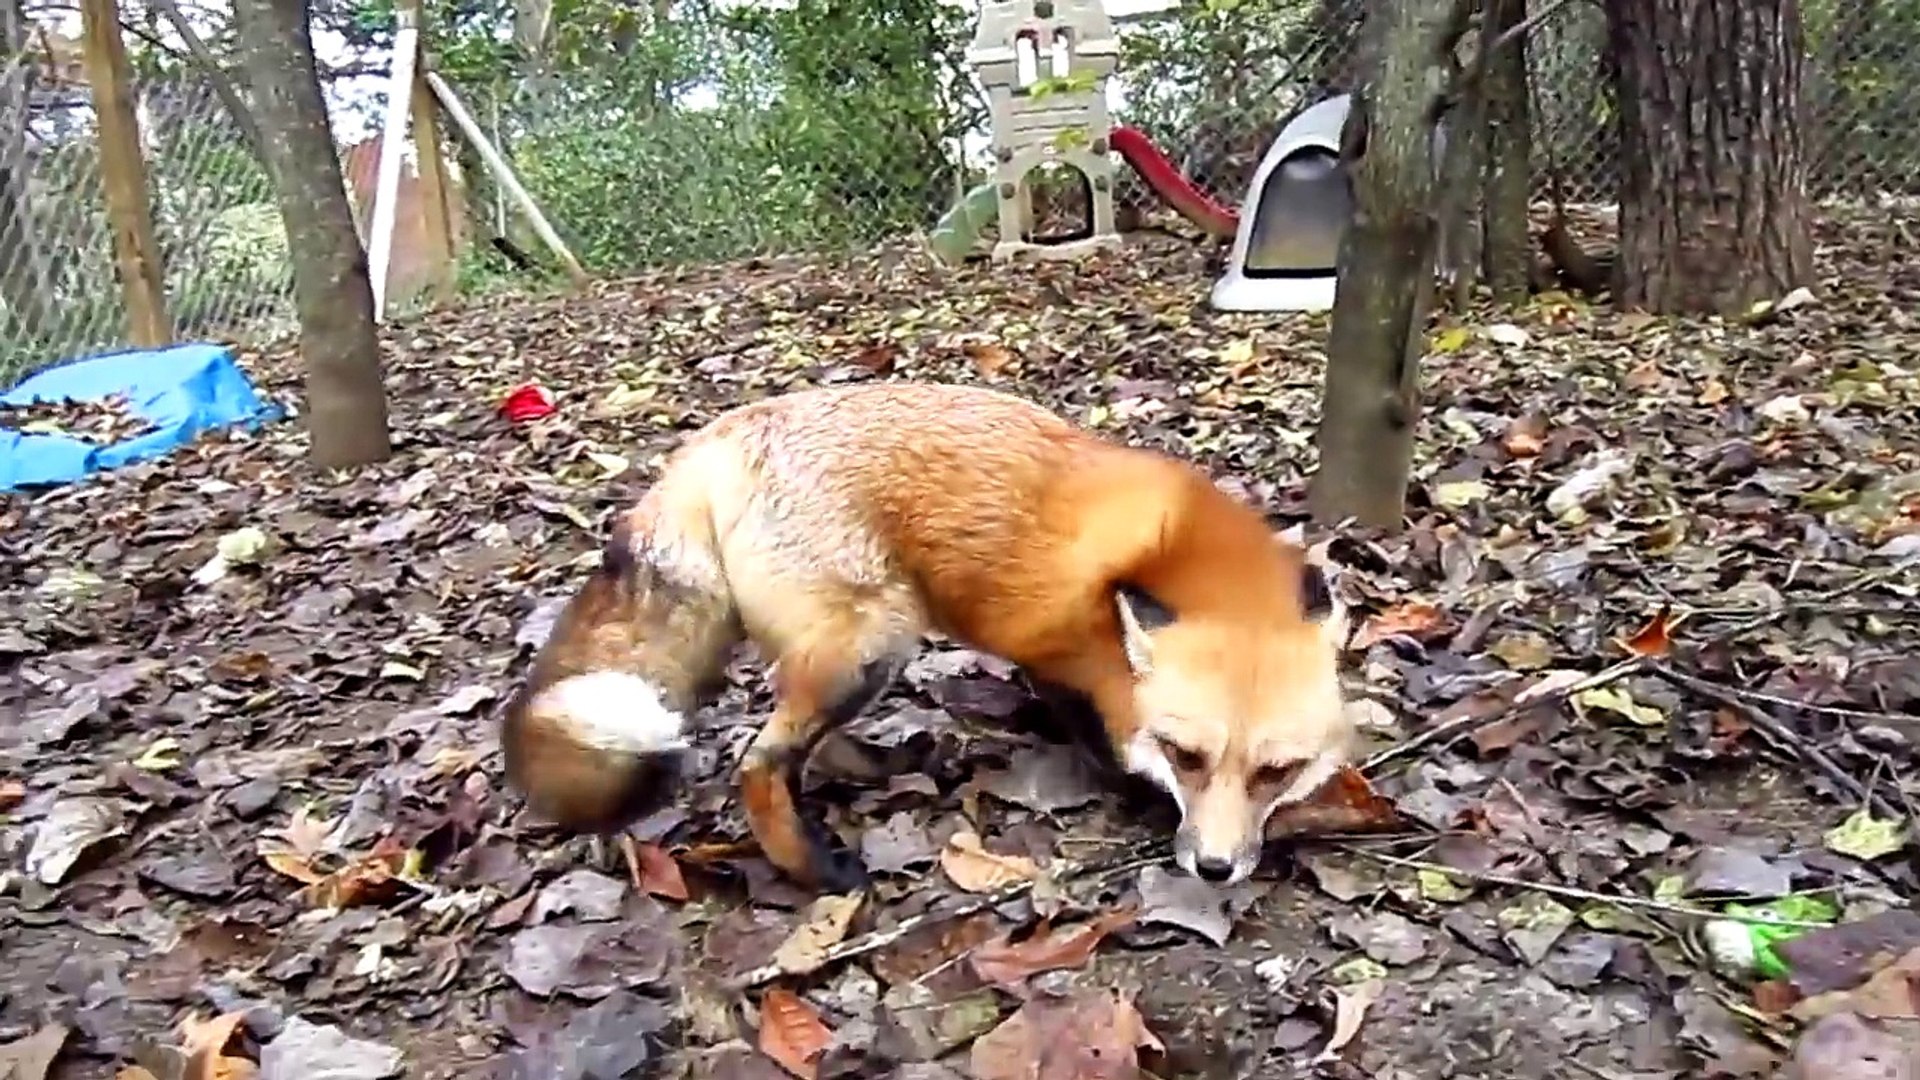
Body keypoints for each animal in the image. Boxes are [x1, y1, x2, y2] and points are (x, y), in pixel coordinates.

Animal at [500, 381, 1354, 891]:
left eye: (1278, 771)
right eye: (1188, 756)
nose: (1214, 869)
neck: (1185, 558)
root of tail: (719, 436)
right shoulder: (1058, 650)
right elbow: (1103, 744)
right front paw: (1136, 792)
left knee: (809, 746)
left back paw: (883, 768)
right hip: (872, 645)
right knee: (759, 762)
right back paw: (813, 868)